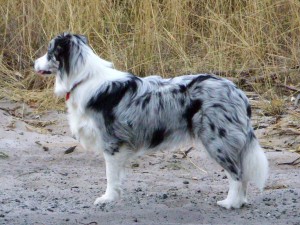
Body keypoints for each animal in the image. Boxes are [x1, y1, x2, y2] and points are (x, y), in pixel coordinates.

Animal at [34, 32, 268, 209]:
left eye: (49, 52)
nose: (33, 62)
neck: (83, 79)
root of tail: (239, 92)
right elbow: (117, 177)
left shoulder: (111, 143)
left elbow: (110, 176)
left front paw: (107, 198)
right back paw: (240, 202)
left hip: (217, 141)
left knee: (237, 174)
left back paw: (231, 203)